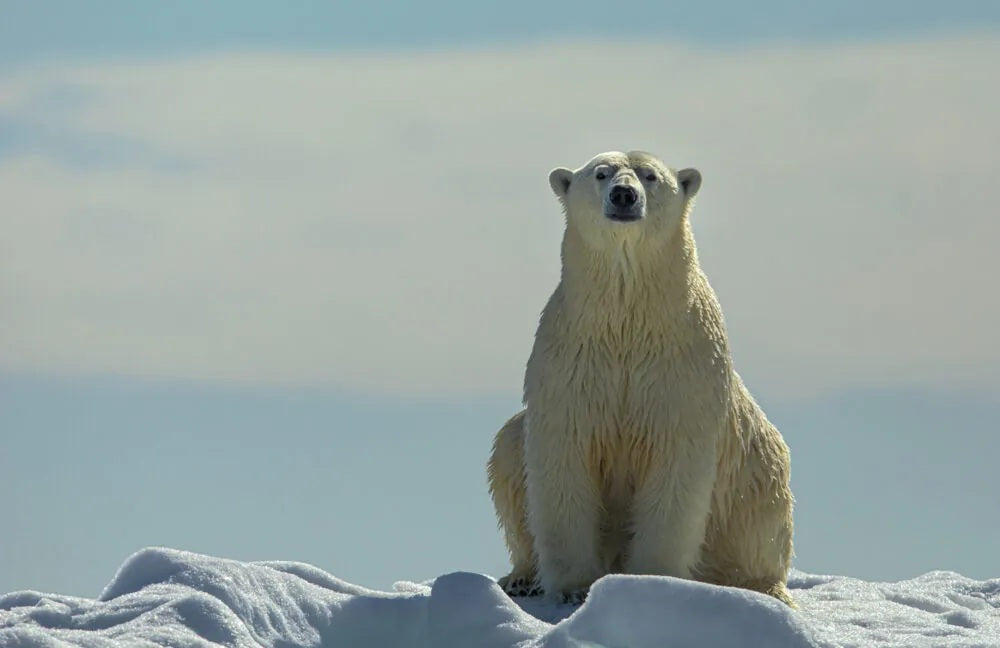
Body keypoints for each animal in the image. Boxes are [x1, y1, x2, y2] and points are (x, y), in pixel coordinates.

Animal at [487, 150, 795, 606]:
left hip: (758, 471)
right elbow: (562, 462)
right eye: (601, 174)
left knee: (761, 517)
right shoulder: (574, 363)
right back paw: (522, 578)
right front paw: (574, 587)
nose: (624, 195)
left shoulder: (681, 370)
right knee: (509, 449)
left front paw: (652, 579)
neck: (628, 319)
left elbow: (674, 472)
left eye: (650, 176)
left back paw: (761, 589)